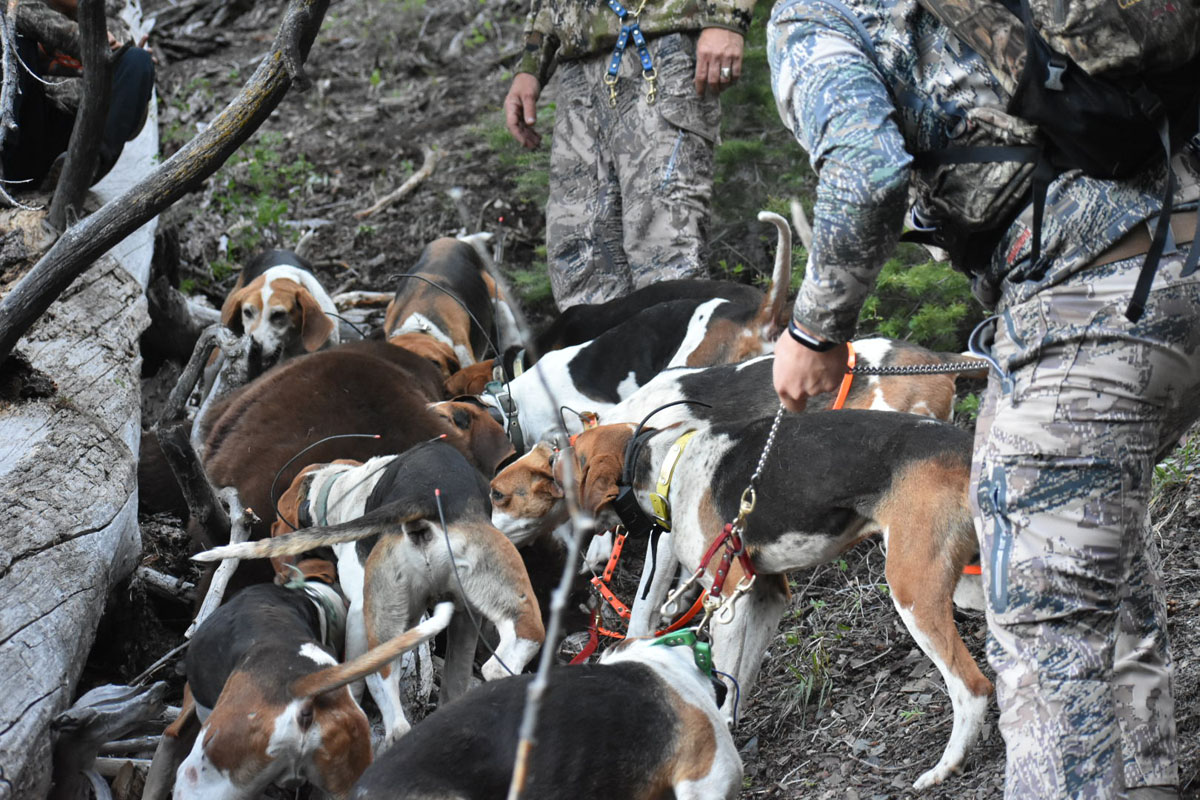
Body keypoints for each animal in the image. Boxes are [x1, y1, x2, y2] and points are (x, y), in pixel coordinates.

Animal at [199, 441, 547, 748]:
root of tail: (424, 496)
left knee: (390, 705)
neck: (338, 489)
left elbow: (352, 680)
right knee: (513, 647)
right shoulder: (464, 616)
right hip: (492, 589)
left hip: (381, 623)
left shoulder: (356, 610)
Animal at [487, 417, 993, 791]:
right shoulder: (767, 593)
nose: (544, 452)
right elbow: (737, 682)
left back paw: (944, 767)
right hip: (967, 581)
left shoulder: (727, 595)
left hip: (912, 588)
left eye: (561, 461)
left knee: (972, 687)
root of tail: (968, 447)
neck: (664, 466)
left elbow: (723, 672)